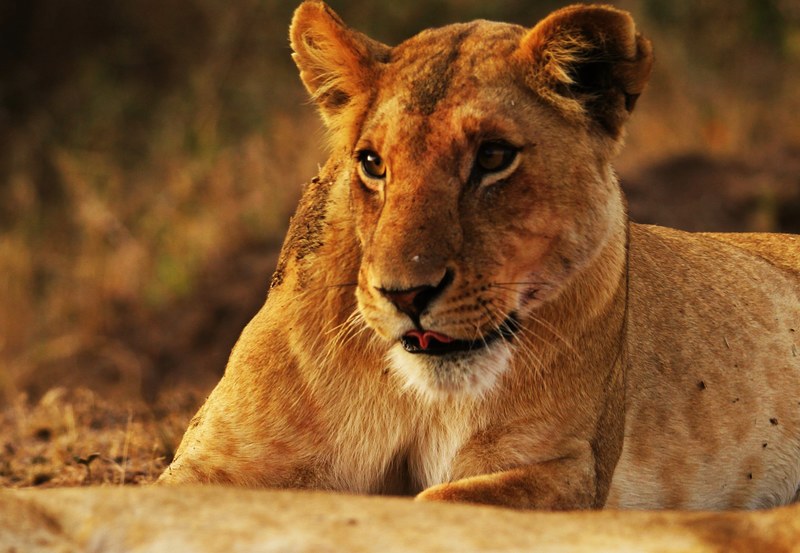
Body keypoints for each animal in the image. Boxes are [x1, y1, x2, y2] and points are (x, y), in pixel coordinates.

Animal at [158, 1, 800, 511]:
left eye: (493, 157)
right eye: (372, 162)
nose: (406, 294)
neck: (413, 395)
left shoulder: (568, 468)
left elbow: (437, 501)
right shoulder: (213, 460)